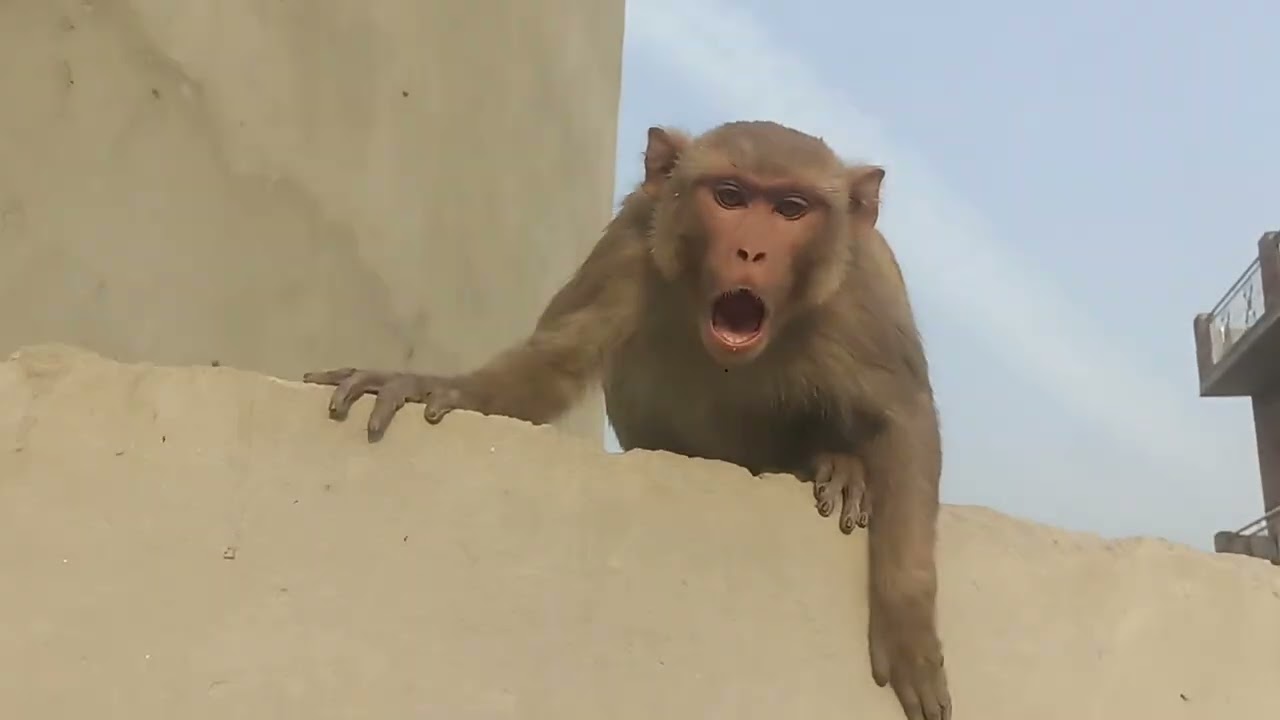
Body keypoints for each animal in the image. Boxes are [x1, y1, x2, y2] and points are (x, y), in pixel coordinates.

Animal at [303, 121, 950, 720]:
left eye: (791, 209)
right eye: (731, 196)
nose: (751, 252)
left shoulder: (863, 288)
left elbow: (903, 420)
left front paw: (907, 623)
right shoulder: (631, 241)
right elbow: (554, 363)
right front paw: (432, 384)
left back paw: (836, 465)